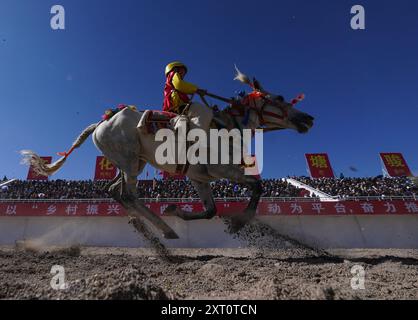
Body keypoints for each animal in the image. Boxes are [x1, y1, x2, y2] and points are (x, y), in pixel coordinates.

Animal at [20, 68, 314, 240]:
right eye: (279, 99)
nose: (308, 118)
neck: (227, 126)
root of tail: (101, 123)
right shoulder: (223, 170)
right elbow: (257, 186)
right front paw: (239, 222)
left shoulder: (200, 178)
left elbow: (210, 210)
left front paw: (176, 209)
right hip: (129, 161)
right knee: (128, 194)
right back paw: (166, 229)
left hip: (130, 162)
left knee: (116, 191)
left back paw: (159, 227)